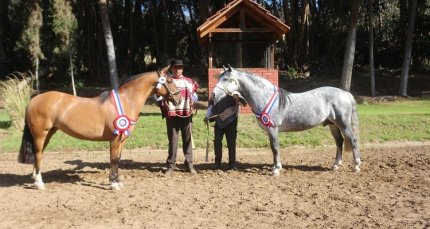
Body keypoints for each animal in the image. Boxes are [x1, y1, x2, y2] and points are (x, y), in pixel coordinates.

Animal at [17, 65, 180, 190]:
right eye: (170, 80)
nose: (178, 99)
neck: (126, 101)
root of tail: (33, 100)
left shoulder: (122, 140)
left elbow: (118, 159)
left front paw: (118, 181)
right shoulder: (115, 139)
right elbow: (113, 159)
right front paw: (114, 184)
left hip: (48, 133)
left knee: (38, 154)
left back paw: (35, 179)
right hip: (40, 134)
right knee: (38, 154)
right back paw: (40, 183)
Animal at [213, 65, 362, 176]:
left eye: (226, 79)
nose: (213, 94)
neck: (265, 97)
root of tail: (346, 94)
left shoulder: (273, 129)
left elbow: (275, 148)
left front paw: (276, 170)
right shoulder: (270, 131)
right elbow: (273, 148)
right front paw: (276, 166)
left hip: (343, 124)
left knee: (353, 140)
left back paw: (356, 166)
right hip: (333, 125)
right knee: (339, 142)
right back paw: (335, 165)